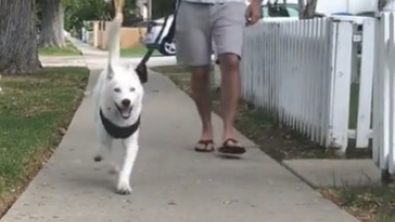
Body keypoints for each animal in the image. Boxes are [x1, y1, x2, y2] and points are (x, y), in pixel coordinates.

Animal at [92, 15, 144, 194]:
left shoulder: (131, 143)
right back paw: (99, 155)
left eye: (132, 89)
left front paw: (123, 183)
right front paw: (115, 168)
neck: (120, 121)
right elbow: (110, 157)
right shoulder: (105, 138)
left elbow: (126, 165)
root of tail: (115, 65)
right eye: (117, 90)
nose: (126, 101)